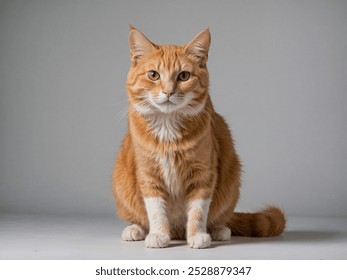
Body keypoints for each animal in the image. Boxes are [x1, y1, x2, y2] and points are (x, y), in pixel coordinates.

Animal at [113, 26, 286, 248]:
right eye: (153, 75)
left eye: (184, 76)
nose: (168, 92)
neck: (168, 127)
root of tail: (177, 231)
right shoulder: (148, 175)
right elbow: (156, 210)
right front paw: (159, 234)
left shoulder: (203, 173)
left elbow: (198, 210)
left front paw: (197, 235)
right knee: (140, 218)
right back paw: (135, 229)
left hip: (231, 183)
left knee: (220, 217)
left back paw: (219, 230)